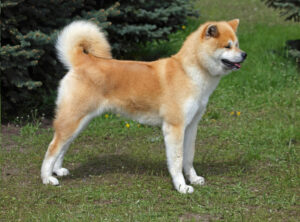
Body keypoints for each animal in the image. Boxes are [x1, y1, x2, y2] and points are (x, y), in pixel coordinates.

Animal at [40, 18, 246, 193]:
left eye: (237, 44)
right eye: (227, 46)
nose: (244, 55)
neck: (190, 73)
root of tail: (82, 60)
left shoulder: (191, 126)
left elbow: (188, 157)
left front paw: (193, 179)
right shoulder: (175, 127)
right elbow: (177, 161)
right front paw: (181, 186)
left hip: (79, 122)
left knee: (63, 146)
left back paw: (58, 170)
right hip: (73, 119)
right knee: (52, 147)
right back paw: (47, 178)